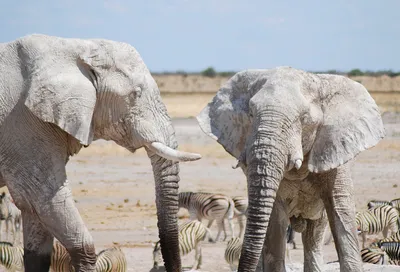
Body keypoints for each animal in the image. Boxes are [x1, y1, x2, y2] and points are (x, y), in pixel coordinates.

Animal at [197, 66, 384, 272]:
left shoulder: (334, 151)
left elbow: (341, 211)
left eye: (304, 119)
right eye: (251, 114)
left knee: (314, 234)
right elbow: (275, 219)